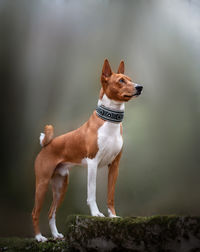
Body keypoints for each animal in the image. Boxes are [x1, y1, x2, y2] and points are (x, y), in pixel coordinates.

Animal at [32, 58, 143, 241]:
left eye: (130, 79)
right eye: (121, 81)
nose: (139, 87)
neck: (110, 123)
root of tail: (47, 144)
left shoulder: (114, 165)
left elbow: (110, 196)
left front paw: (113, 216)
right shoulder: (93, 163)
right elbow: (92, 193)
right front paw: (96, 214)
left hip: (61, 185)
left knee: (51, 213)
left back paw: (56, 235)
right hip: (42, 182)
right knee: (35, 212)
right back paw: (39, 238)